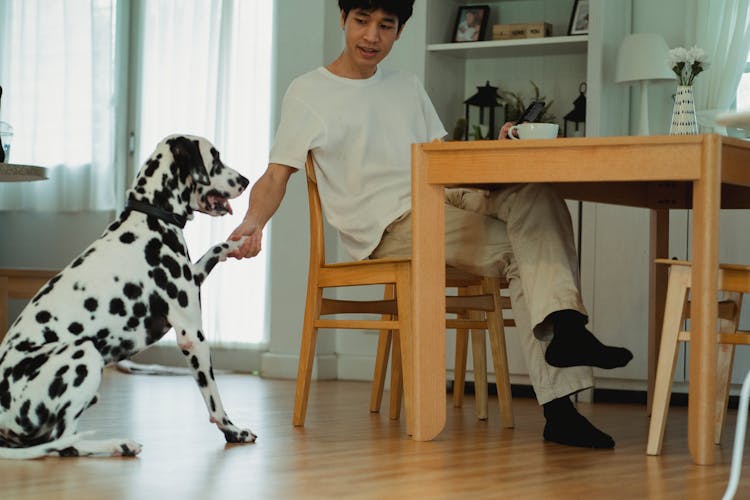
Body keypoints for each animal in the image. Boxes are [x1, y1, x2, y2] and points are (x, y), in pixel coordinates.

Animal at [0, 135, 256, 458]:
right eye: (216, 157)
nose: (246, 180)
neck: (151, 216)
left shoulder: (193, 275)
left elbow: (214, 250)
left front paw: (238, 242)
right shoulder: (192, 336)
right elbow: (214, 399)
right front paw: (233, 430)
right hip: (85, 352)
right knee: (65, 442)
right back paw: (118, 444)